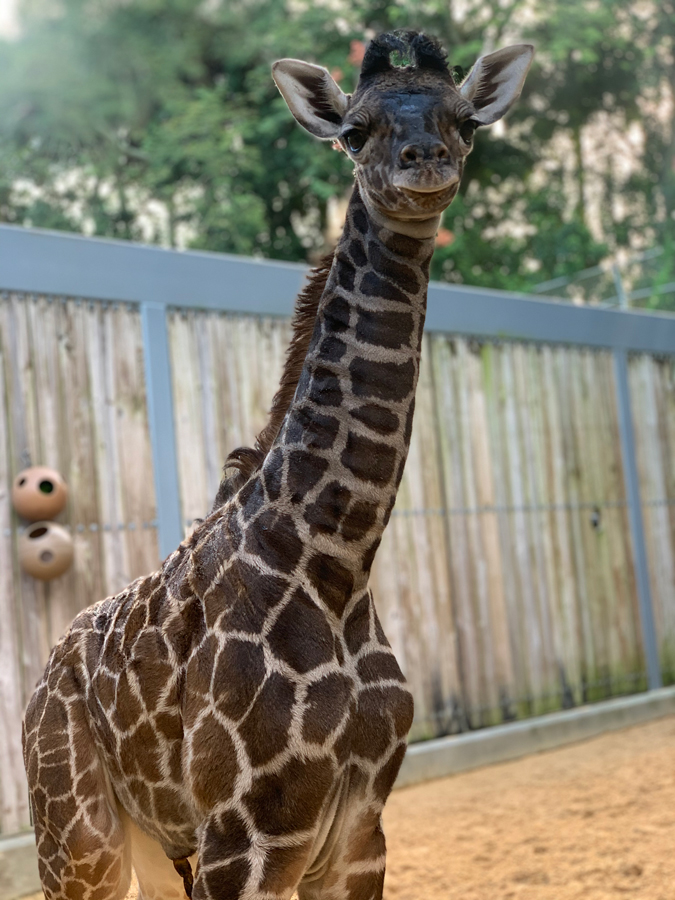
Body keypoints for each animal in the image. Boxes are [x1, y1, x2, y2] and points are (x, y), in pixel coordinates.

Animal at [22, 29, 532, 900]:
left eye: (464, 120)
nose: (424, 163)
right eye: (354, 132)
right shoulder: (243, 837)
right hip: (78, 842)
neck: (337, 558)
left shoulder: (359, 834)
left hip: (155, 849)